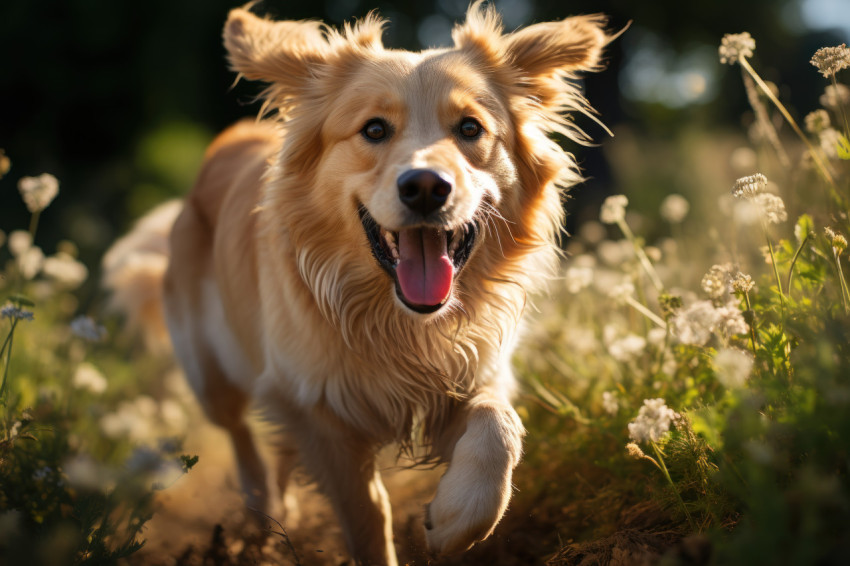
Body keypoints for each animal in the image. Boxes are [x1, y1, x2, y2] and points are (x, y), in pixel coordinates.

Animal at [104, 2, 608, 564]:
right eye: (374, 130)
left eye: (471, 128)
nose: (425, 187)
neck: (397, 320)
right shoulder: (319, 412)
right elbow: (367, 516)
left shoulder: (469, 375)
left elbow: (500, 427)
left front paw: (456, 518)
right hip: (212, 374)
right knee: (239, 432)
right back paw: (259, 517)